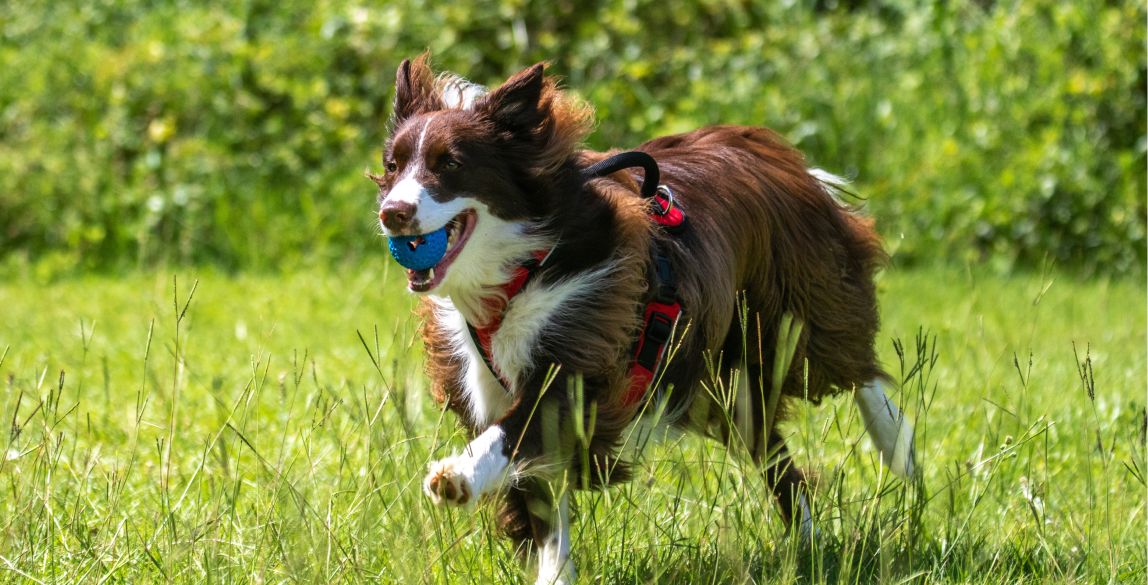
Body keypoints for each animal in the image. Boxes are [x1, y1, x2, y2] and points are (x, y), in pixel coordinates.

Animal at [369, 55, 913, 585]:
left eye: (450, 164)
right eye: (392, 166)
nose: (392, 213)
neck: (515, 275)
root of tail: (766, 146)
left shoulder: (586, 345)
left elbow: (521, 429)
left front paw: (456, 475)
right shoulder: (484, 382)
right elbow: (545, 506)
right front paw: (553, 571)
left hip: (793, 299)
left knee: (846, 358)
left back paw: (896, 444)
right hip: (715, 377)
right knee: (774, 453)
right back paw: (809, 547)